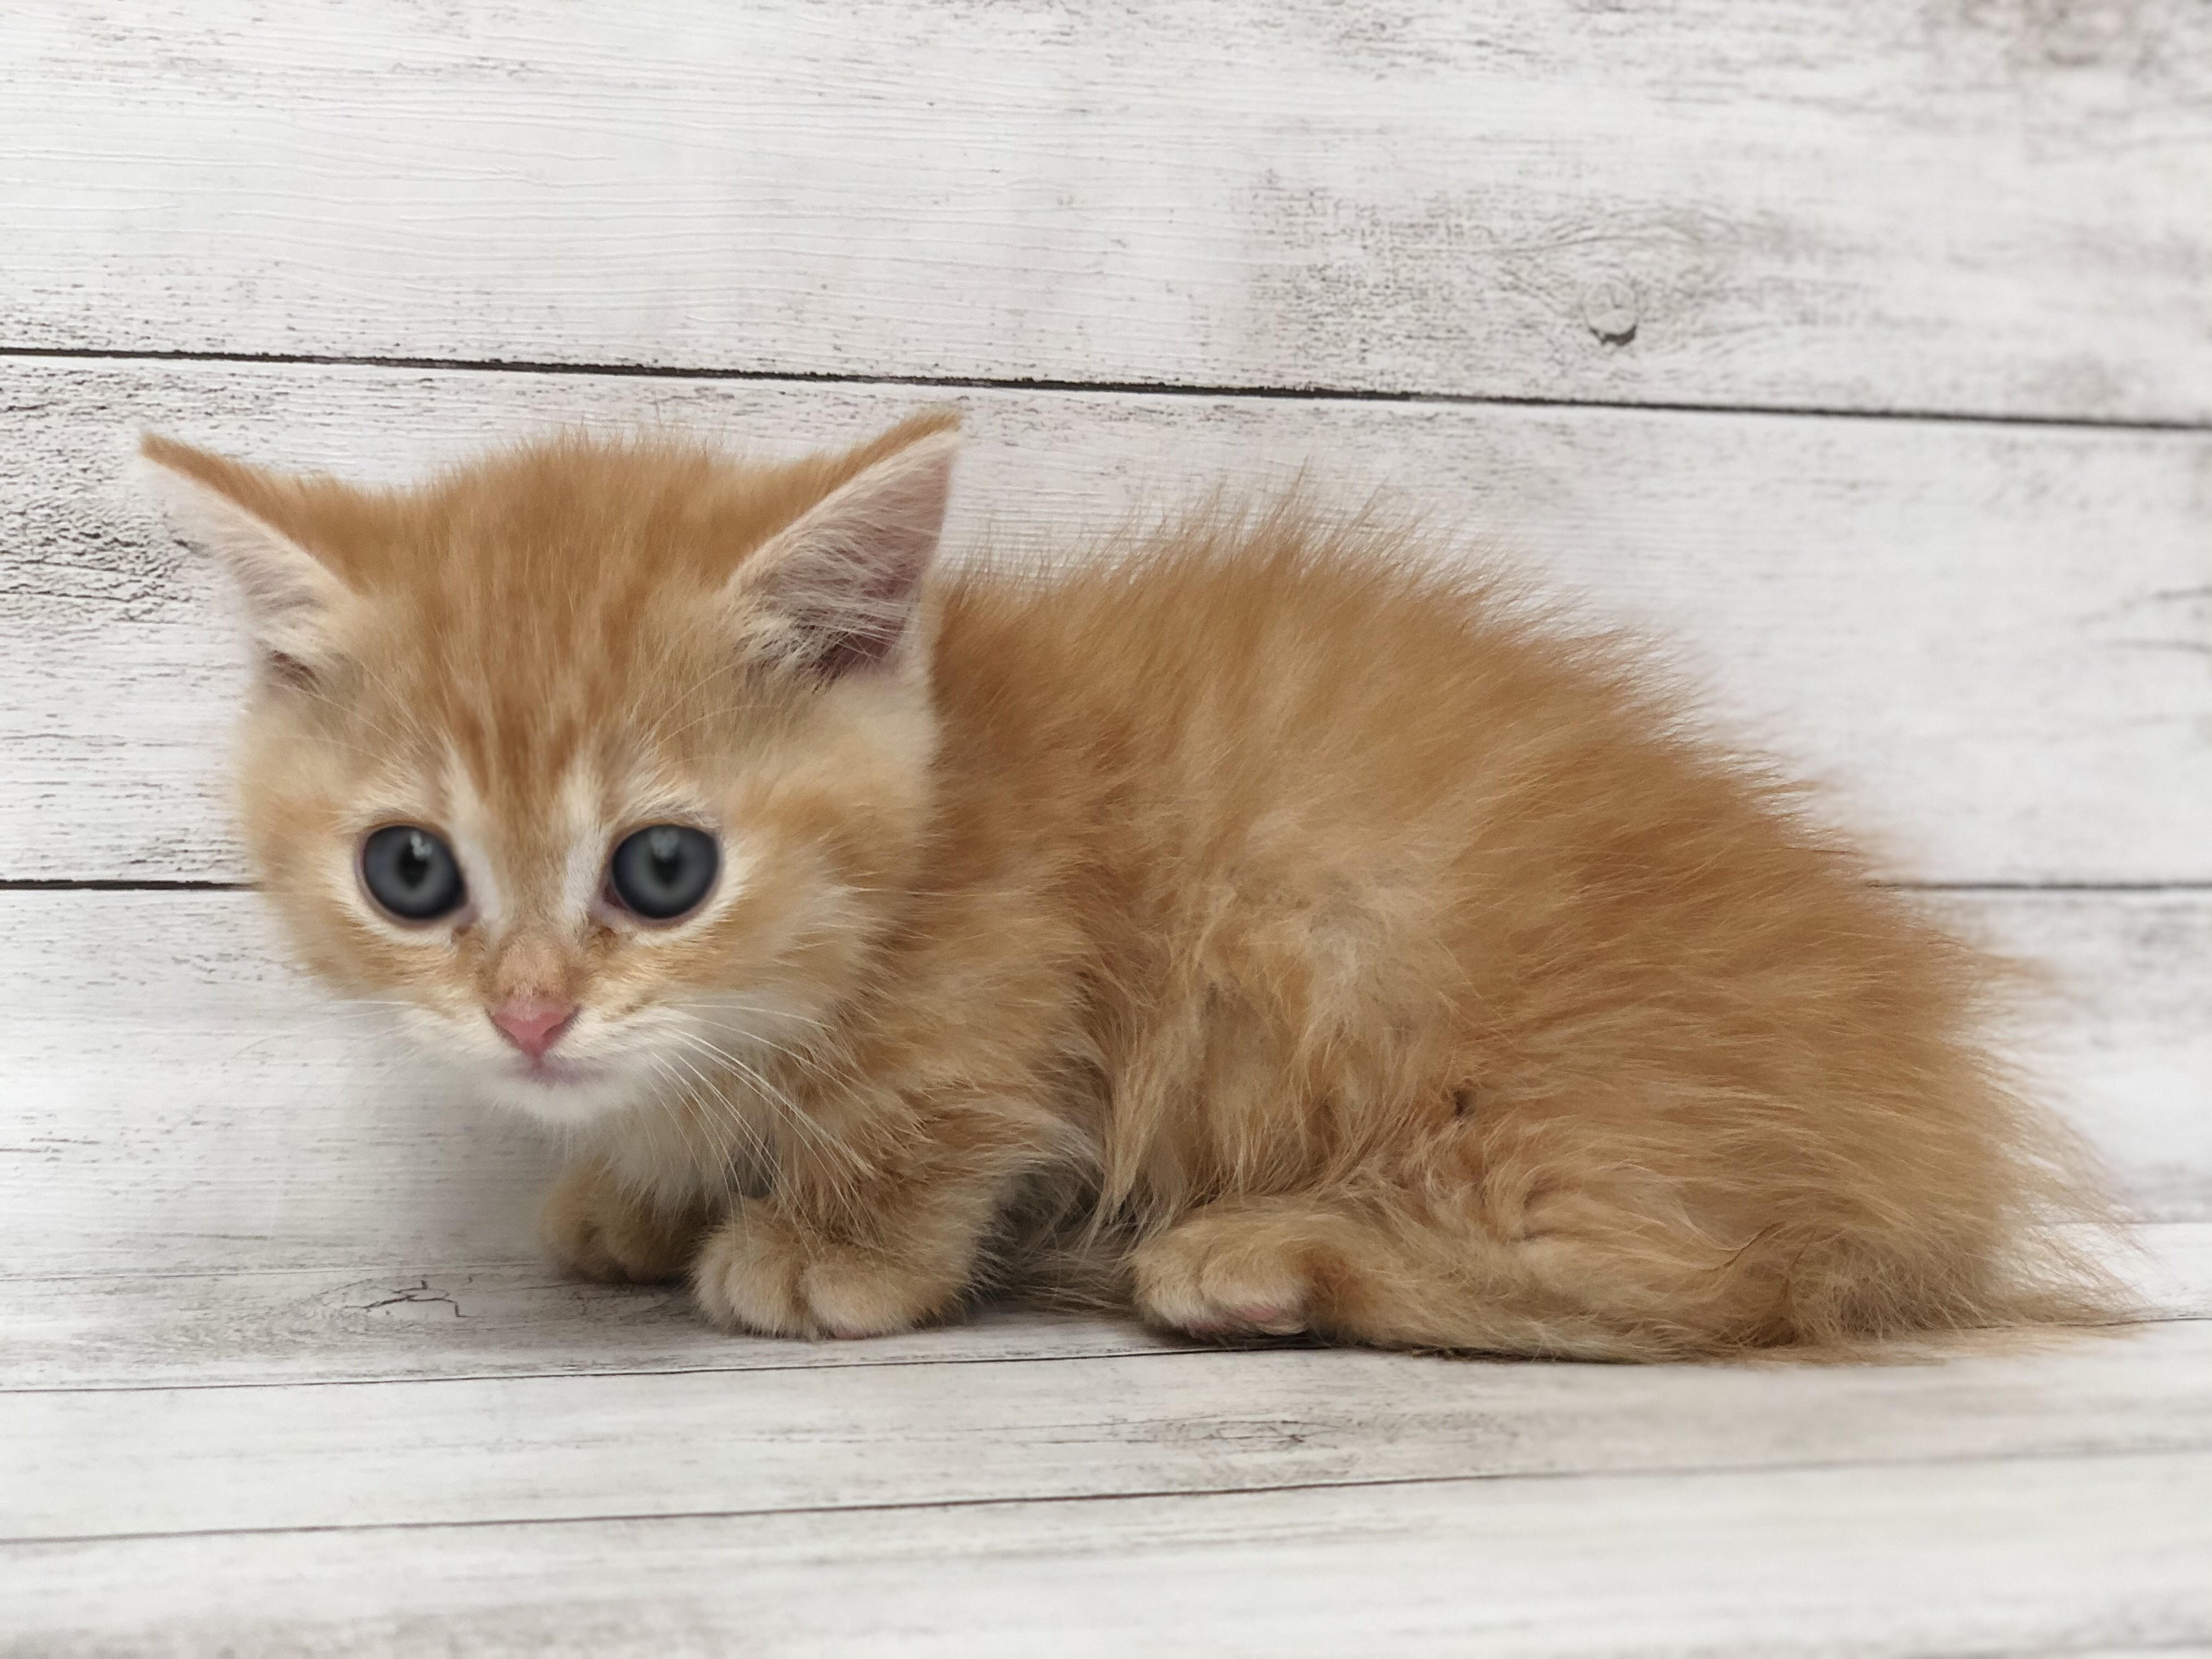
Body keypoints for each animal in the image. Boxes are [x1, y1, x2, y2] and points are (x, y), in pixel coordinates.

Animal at [147, 416, 2114, 1362]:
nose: (533, 1014)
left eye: (663, 868)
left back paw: (1266, 1258)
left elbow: (938, 1109)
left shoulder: (1017, 968)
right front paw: (642, 1183)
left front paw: (828, 1244)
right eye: (413, 872)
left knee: (1722, 1288)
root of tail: (1924, 1130)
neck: (944, 803)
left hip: (1470, 1038)